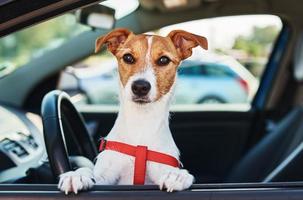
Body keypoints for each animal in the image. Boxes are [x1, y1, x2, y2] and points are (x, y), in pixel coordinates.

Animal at [58, 28, 208, 194]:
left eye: (164, 60)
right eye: (128, 57)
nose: (140, 86)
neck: (141, 123)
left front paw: (177, 175)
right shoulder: (106, 176)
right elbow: (90, 172)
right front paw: (76, 175)